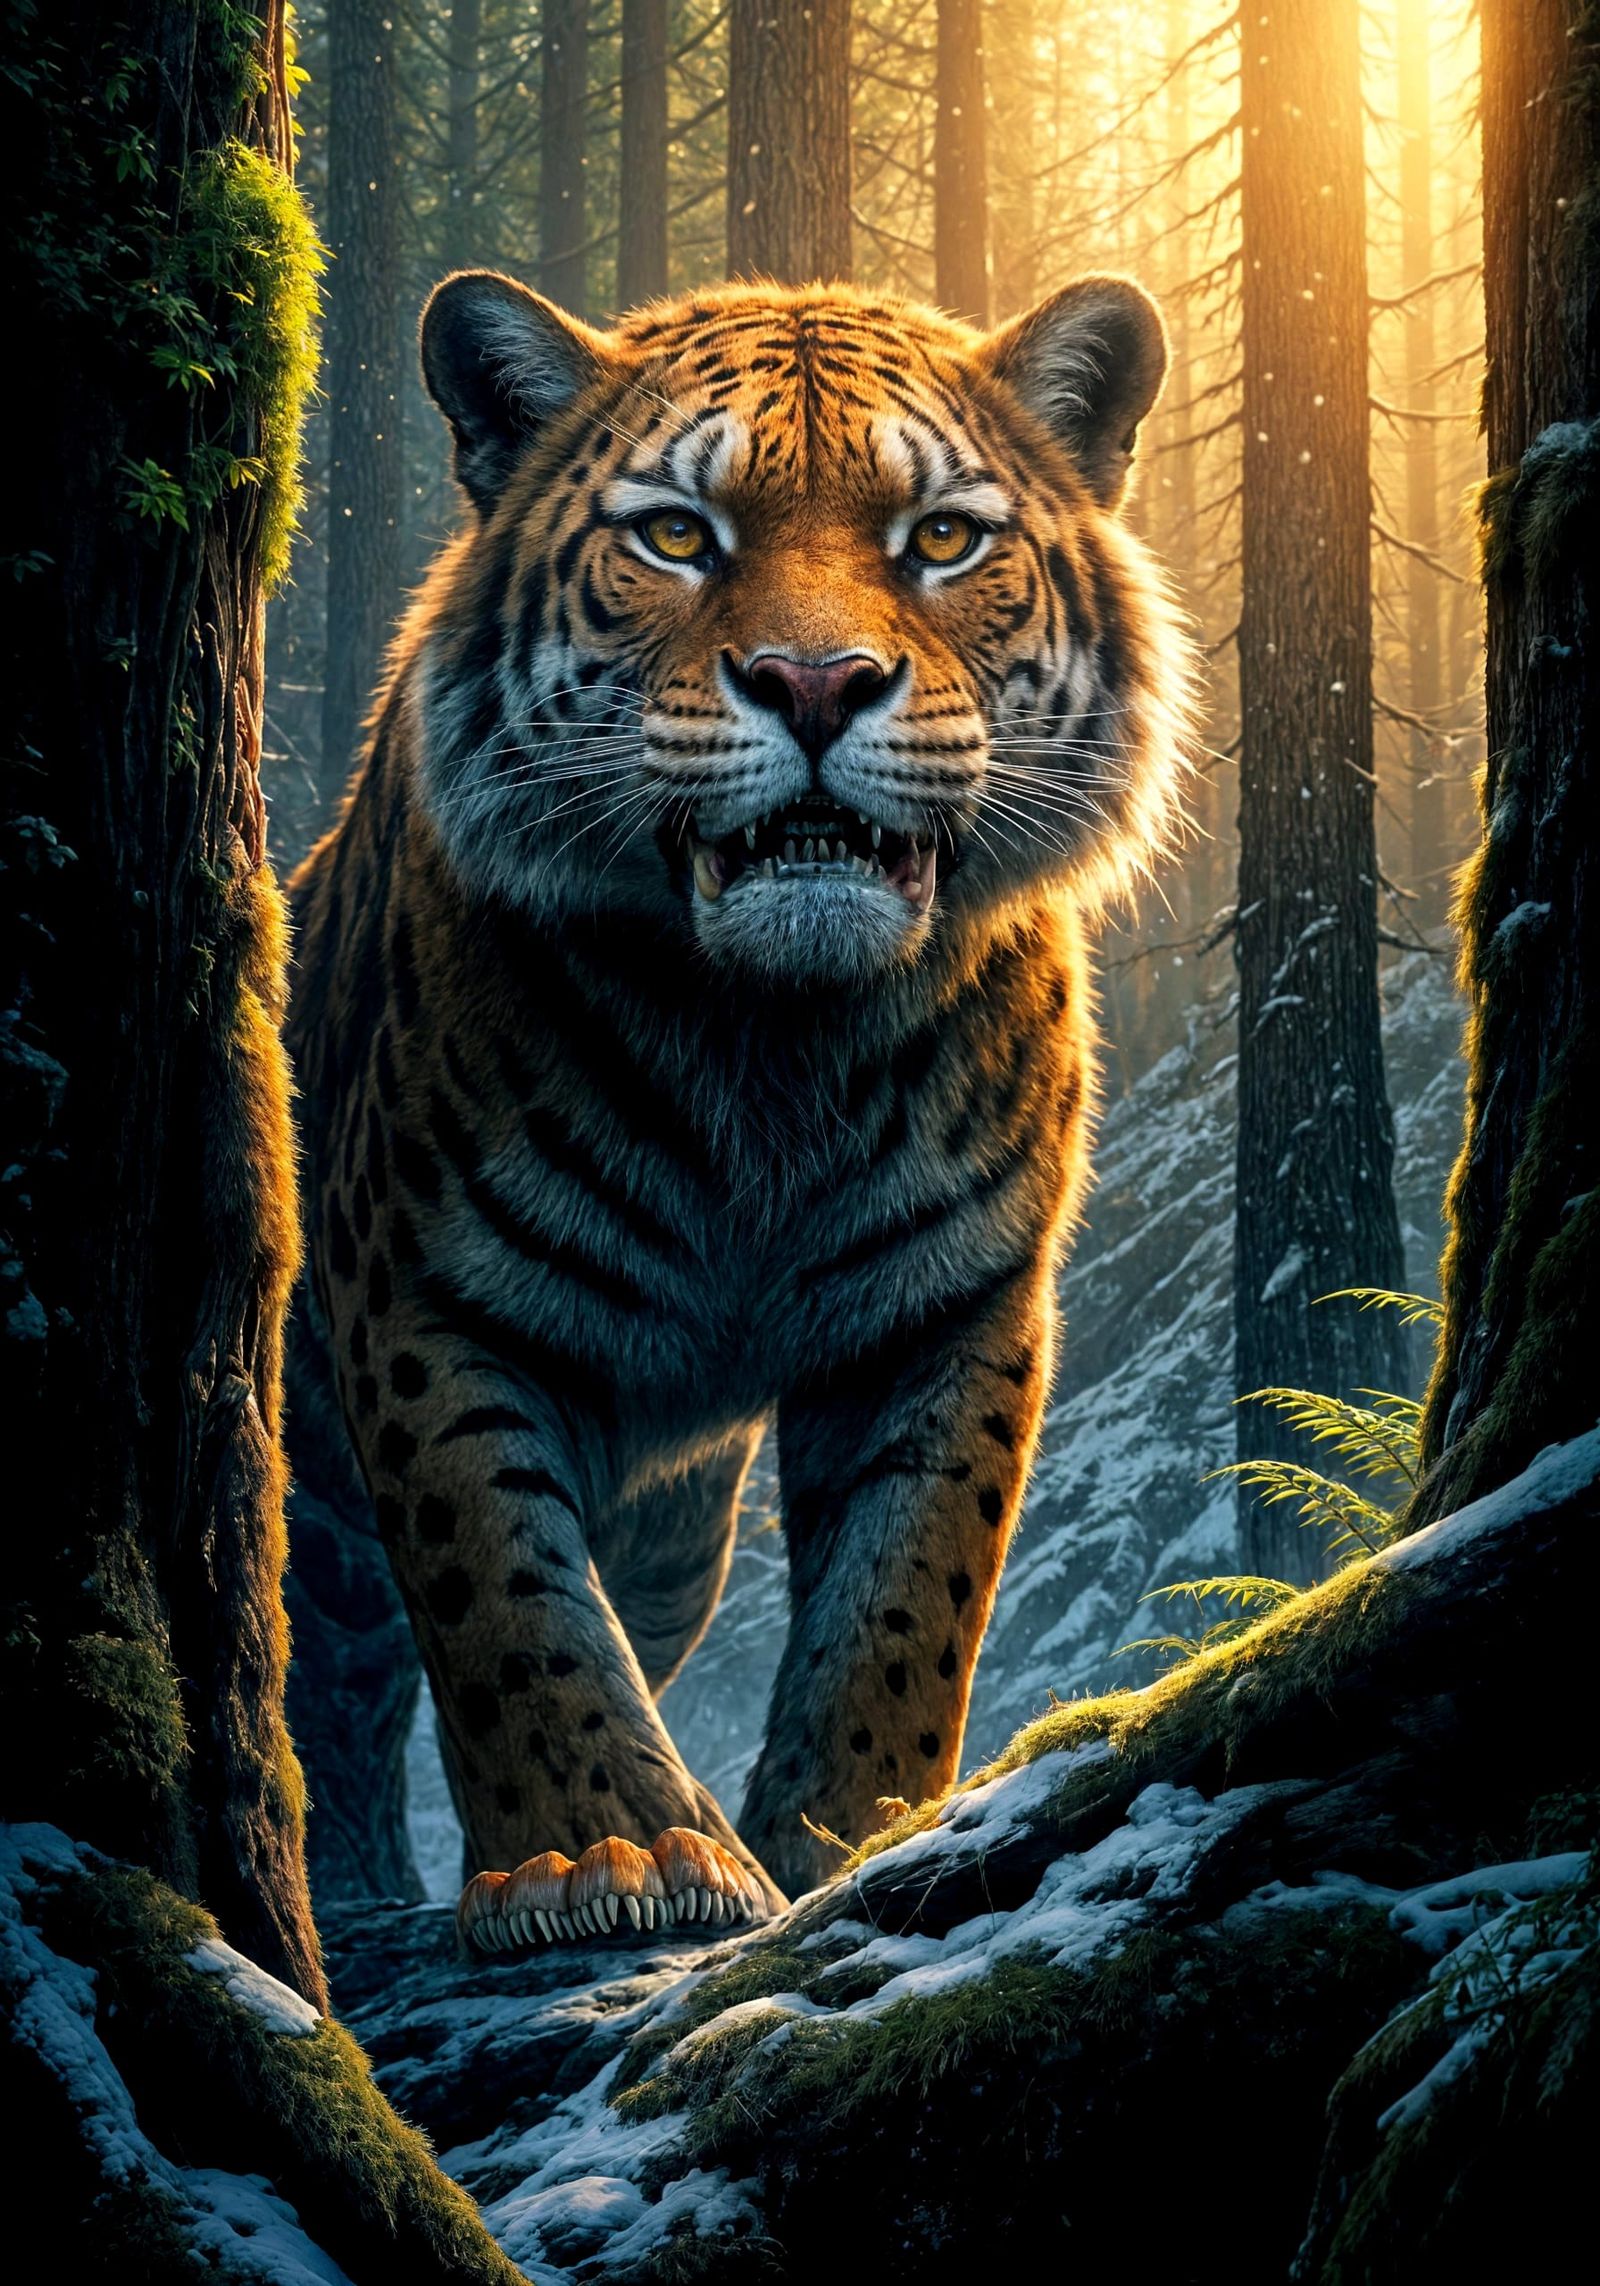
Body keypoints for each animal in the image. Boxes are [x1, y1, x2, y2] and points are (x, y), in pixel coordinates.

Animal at [285, 269, 1193, 1951]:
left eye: (942, 537)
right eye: (675, 535)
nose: (816, 683)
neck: (773, 1051)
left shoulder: (949, 1310)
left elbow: (900, 1600)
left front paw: (857, 1835)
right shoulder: (426, 1299)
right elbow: (502, 1595)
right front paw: (604, 1856)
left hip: (672, 1525)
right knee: (340, 1659)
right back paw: (353, 1884)